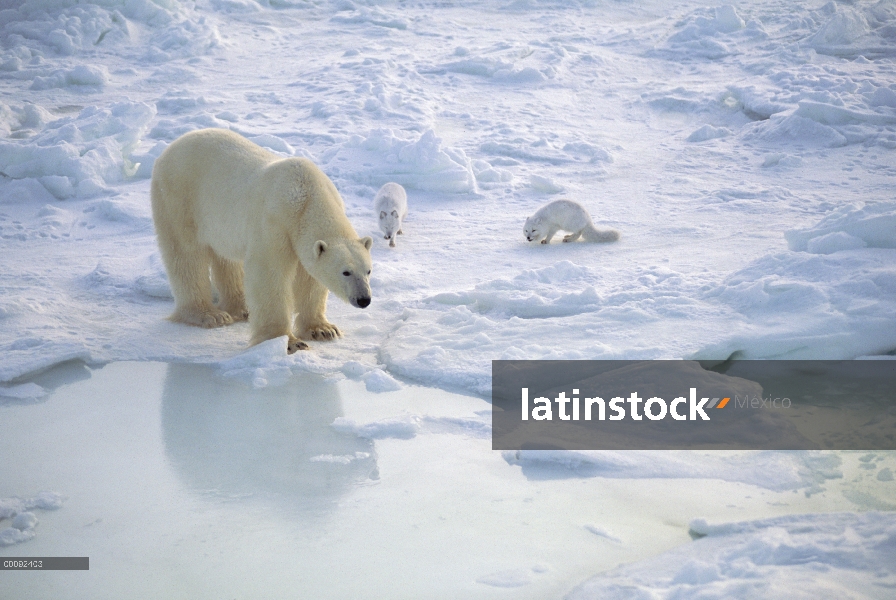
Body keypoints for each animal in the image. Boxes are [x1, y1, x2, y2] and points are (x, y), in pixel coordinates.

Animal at [150, 126, 372, 352]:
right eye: (346, 272)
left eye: (368, 271)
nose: (364, 299)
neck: (307, 196)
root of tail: (170, 148)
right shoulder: (275, 223)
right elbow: (269, 274)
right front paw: (288, 342)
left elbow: (310, 279)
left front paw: (324, 330)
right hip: (179, 197)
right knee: (186, 255)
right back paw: (209, 315)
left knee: (226, 259)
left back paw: (241, 308)